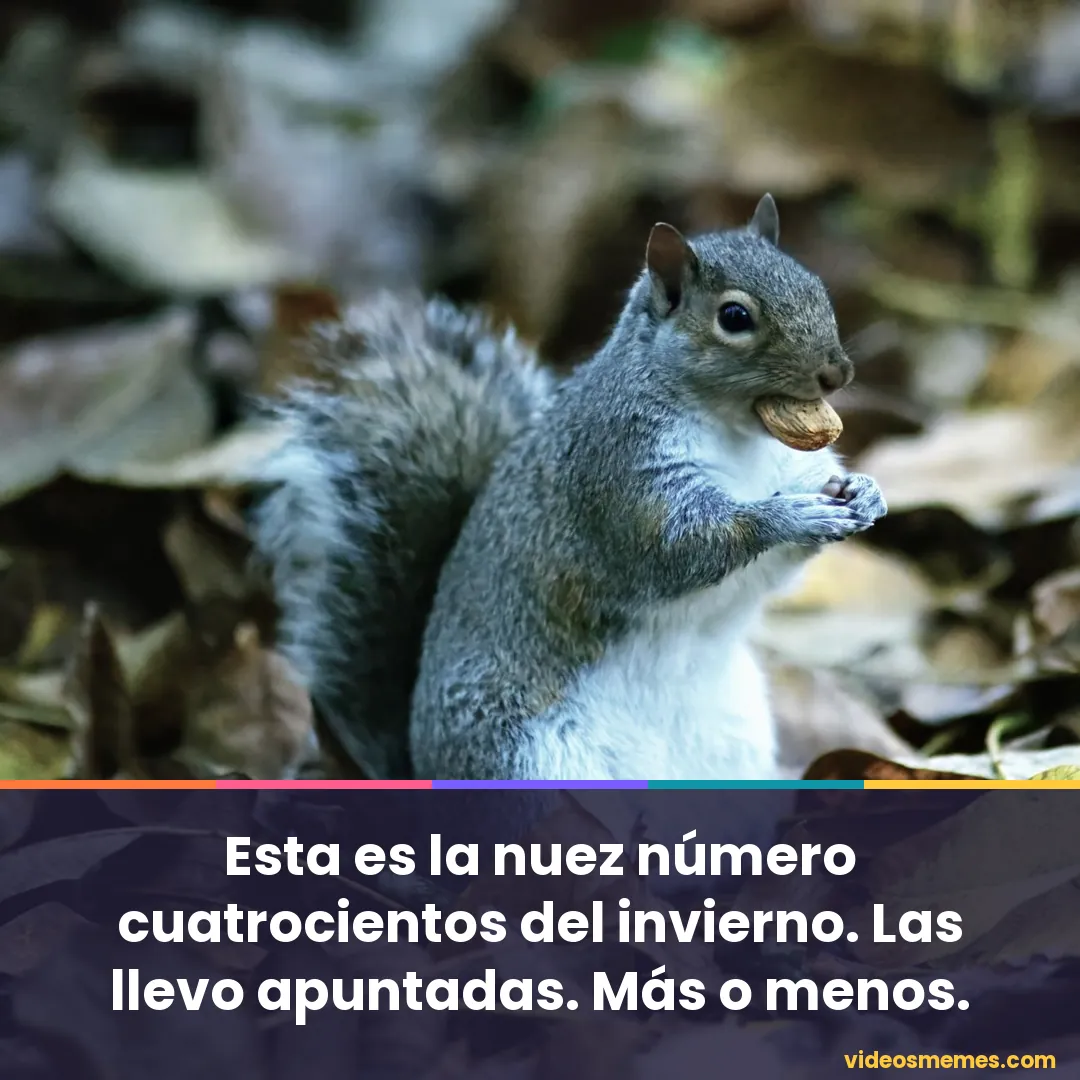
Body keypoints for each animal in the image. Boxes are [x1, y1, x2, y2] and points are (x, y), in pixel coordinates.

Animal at [251, 195, 887, 781]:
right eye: (734, 317)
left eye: (814, 283)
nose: (839, 373)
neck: (738, 434)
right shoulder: (618, 475)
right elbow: (680, 545)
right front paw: (791, 519)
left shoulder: (787, 468)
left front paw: (864, 491)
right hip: (526, 759)